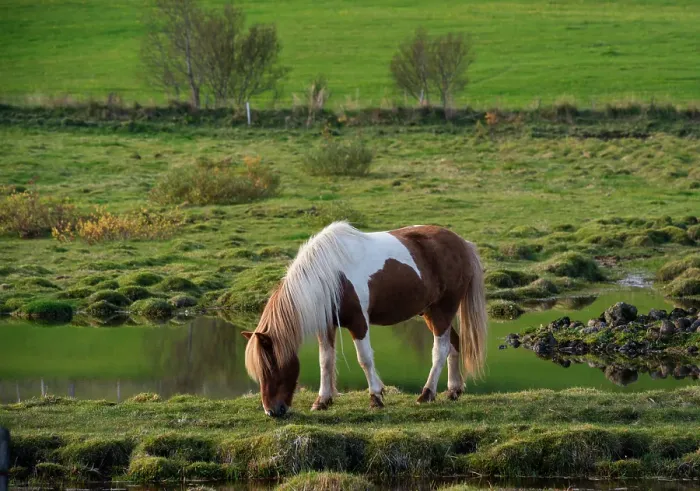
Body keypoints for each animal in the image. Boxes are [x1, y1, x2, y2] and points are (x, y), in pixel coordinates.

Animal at [241, 221, 487, 417]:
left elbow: (365, 359)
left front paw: (376, 397)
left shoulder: (359, 323)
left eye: (271, 367)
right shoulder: (326, 325)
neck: (331, 275)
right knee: (454, 344)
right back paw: (453, 390)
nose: (272, 411)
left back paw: (427, 394)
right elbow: (325, 360)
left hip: (442, 310)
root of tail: (462, 243)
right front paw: (323, 400)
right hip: (431, 312)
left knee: (441, 349)